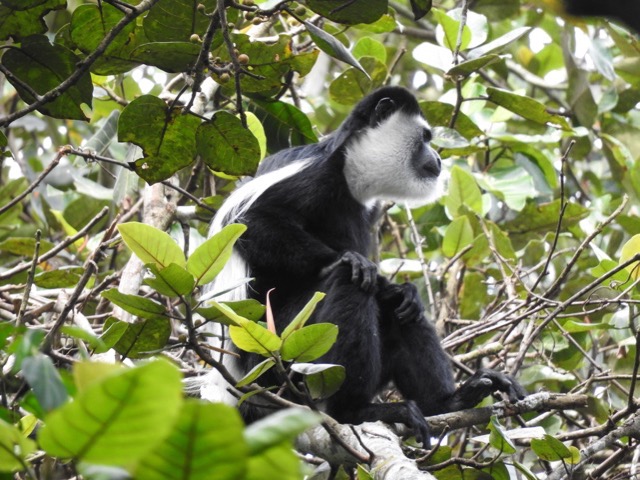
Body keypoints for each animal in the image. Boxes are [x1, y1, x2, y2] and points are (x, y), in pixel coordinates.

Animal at [204, 87, 524, 442]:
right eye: (425, 138)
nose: (439, 159)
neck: (351, 173)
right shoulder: (315, 176)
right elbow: (250, 223)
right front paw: (356, 263)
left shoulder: (366, 210)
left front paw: (403, 290)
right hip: (279, 352)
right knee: (349, 284)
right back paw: (357, 411)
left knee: (401, 313)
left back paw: (449, 401)